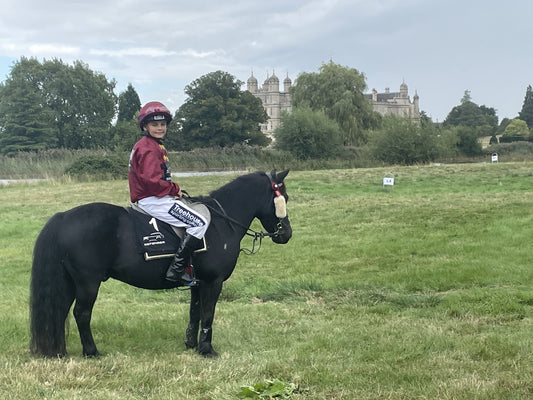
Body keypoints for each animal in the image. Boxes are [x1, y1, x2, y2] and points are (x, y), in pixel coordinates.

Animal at [30, 170, 290, 358]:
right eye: (282, 198)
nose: (286, 234)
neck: (219, 223)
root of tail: (63, 217)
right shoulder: (212, 282)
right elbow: (208, 314)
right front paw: (207, 349)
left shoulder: (197, 283)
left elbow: (195, 312)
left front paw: (191, 344)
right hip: (88, 283)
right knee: (81, 314)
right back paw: (91, 352)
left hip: (69, 283)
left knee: (61, 312)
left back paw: (60, 351)